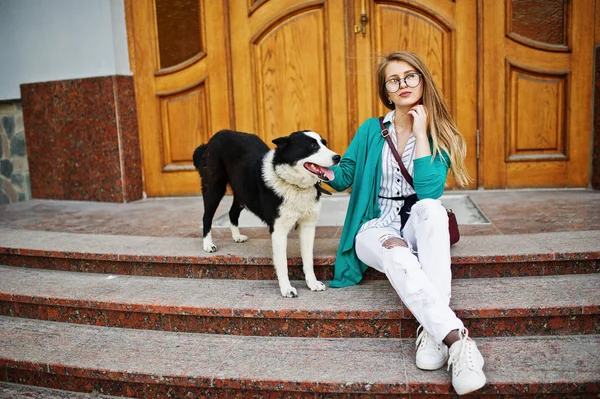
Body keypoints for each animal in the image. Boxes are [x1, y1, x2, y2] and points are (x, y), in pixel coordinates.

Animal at [195, 130, 340, 298]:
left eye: (325, 144)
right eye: (312, 146)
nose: (338, 157)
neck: (294, 184)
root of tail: (218, 134)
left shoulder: (308, 227)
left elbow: (308, 259)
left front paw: (312, 283)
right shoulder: (278, 231)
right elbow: (282, 263)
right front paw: (286, 289)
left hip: (243, 194)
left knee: (232, 212)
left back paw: (236, 236)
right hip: (214, 187)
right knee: (206, 217)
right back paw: (208, 244)